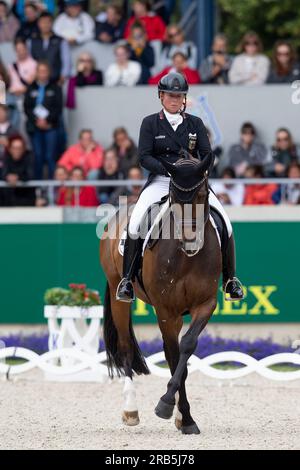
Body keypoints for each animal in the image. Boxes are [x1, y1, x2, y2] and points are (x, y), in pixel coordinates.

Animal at [99, 150, 221, 434]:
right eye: (174, 196)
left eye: (202, 194)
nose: (190, 242)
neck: (186, 259)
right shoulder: (167, 310)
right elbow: (174, 356)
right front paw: (171, 408)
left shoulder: (206, 303)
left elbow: (186, 348)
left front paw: (183, 417)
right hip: (118, 293)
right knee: (125, 348)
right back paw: (131, 411)